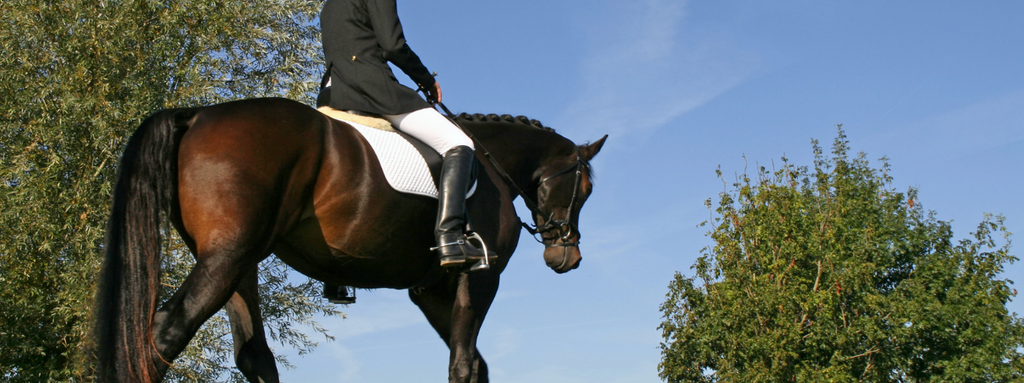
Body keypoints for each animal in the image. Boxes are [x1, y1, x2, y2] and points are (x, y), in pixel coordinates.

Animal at [92, 97, 602, 380]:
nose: (567, 256)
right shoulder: (479, 278)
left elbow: (476, 364)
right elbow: (464, 364)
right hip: (226, 258)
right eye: (585, 189)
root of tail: (197, 115)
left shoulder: (432, 291)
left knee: (255, 356)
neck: (491, 165)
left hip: (238, 262)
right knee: (164, 333)